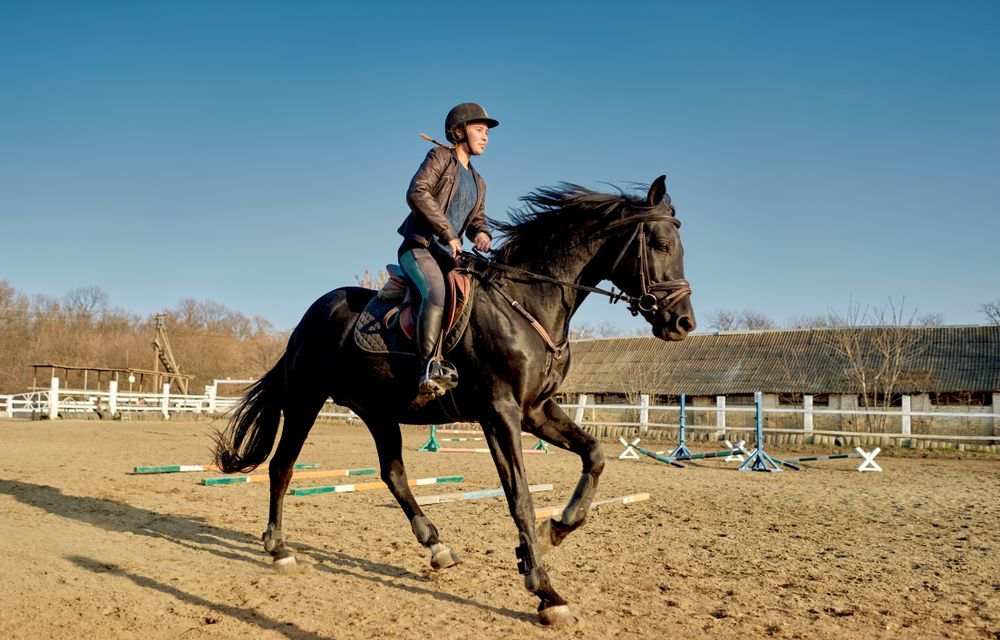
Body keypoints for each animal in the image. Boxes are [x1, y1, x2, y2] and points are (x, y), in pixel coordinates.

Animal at [214, 175, 695, 626]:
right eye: (661, 244)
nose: (683, 322)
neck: (526, 304)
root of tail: (308, 318)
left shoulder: (536, 410)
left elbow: (594, 455)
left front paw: (553, 532)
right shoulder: (500, 414)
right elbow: (519, 497)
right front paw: (545, 591)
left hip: (377, 412)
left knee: (393, 475)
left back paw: (437, 547)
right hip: (305, 401)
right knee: (282, 467)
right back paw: (279, 549)